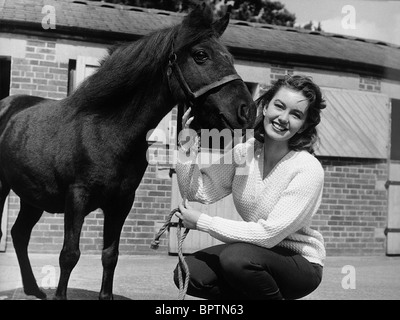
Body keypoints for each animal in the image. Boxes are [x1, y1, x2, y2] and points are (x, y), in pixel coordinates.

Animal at [0, 3, 256, 300]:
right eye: (201, 55)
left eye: (230, 57)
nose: (247, 110)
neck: (106, 131)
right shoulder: (76, 199)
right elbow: (69, 254)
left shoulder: (121, 202)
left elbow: (110, 255)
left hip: (32, 197)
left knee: (19, 234)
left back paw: (33, 288)